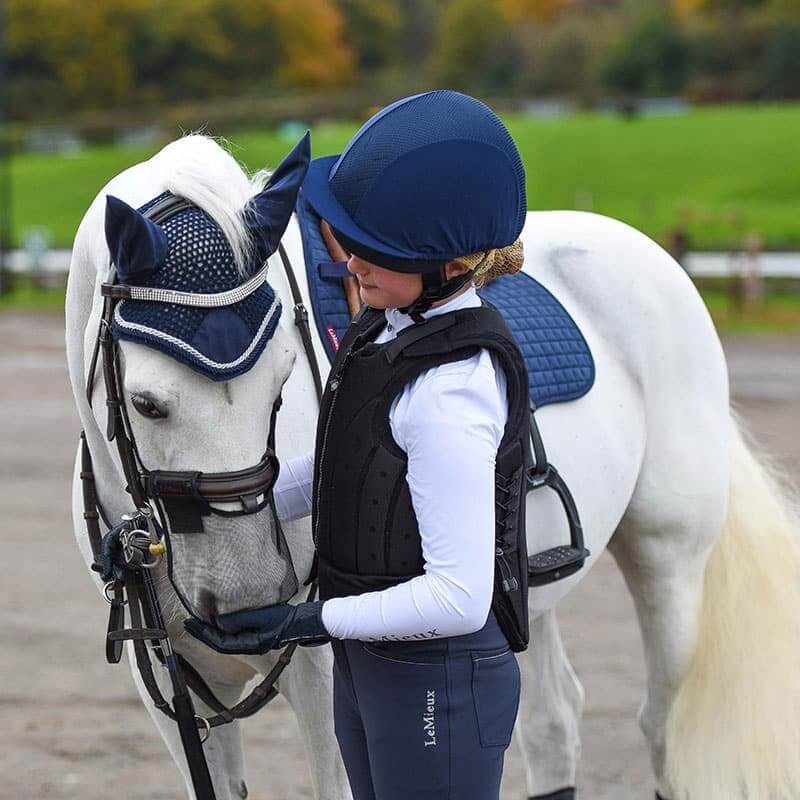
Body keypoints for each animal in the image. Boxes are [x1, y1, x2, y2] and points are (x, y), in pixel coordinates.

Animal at [65, 133, 800, 800]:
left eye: (280, 385)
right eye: (148, 403)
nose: (250, 595)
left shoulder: (325, 676)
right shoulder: (173, 694)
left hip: (669, 568)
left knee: (662, 728)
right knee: (553, 723)